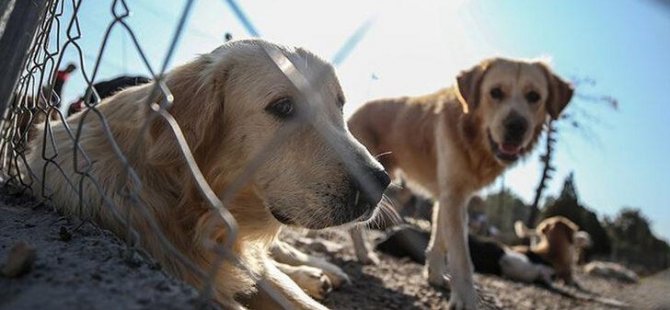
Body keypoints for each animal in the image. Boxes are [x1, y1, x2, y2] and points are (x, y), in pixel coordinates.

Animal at [350, 57, 576, 308]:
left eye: (534, 96)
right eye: (495, 92)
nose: (516, 127)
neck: (472, 137)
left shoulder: (449, 195)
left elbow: (440, 240)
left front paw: (436, 277)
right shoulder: (454, 197)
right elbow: (461, 255)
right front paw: (466, 298)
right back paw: (364, 254)